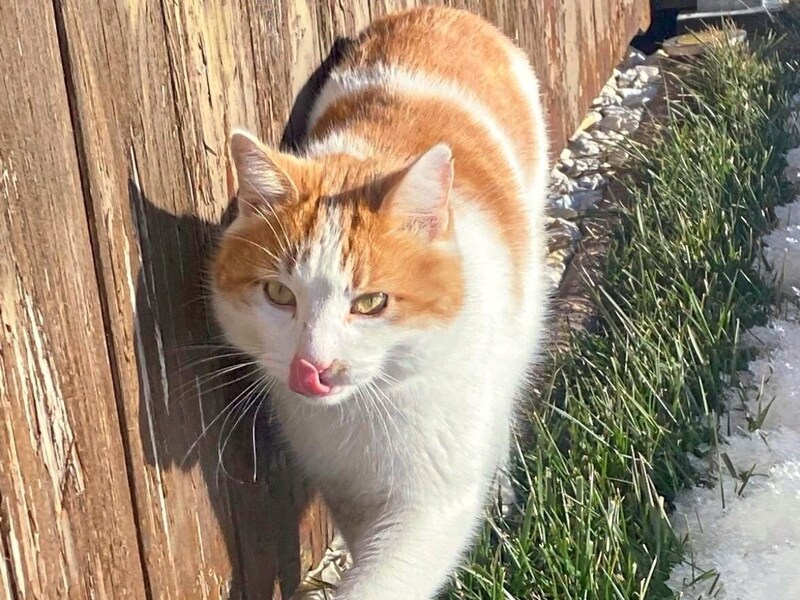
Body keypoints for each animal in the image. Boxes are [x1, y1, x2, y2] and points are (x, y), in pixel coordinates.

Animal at [209, 5, 552, 600]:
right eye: (279, 294)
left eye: (370, 302)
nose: (313, 366)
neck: (359, 413)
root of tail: (440, 13)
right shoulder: (346, 486)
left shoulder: (431, 500)